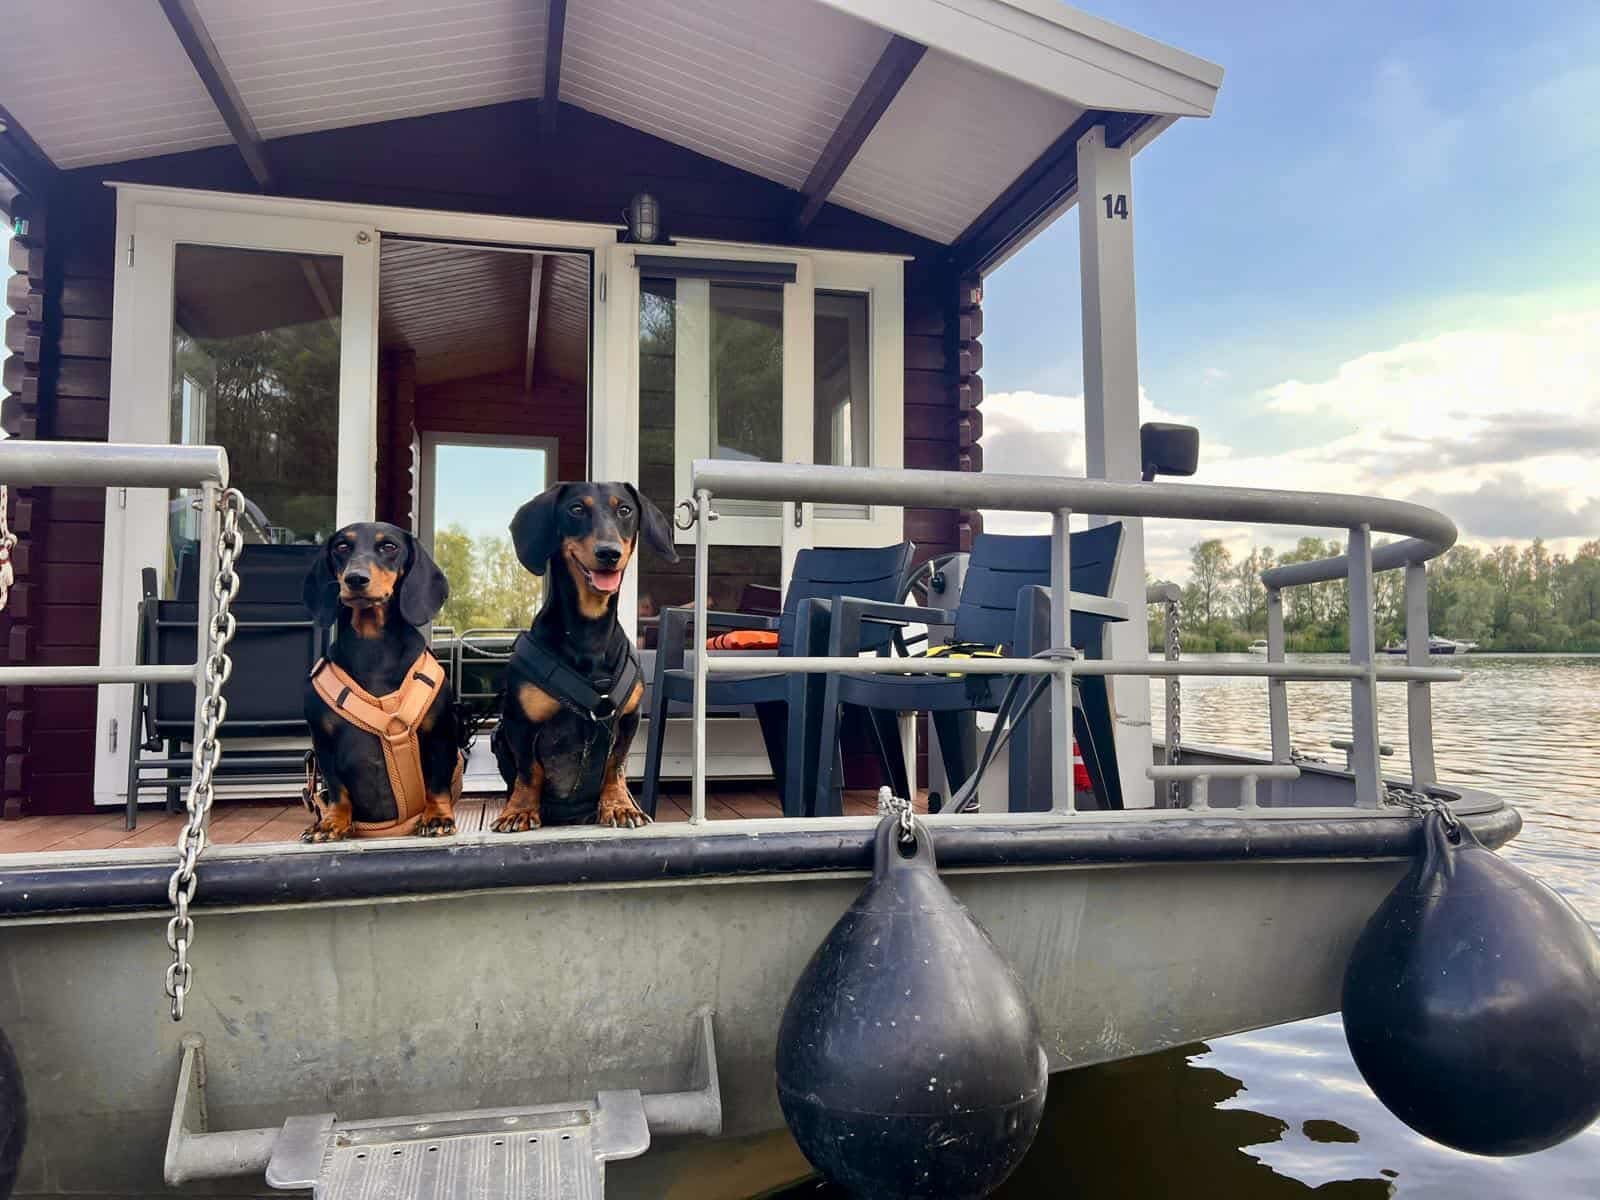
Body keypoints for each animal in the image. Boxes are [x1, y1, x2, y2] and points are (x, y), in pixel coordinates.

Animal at [300, 522, 463, 841]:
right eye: (341, 547)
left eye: (389, 546)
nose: (355, 579)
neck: (373, 647)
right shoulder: (323, 741)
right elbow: (337, 789)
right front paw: (332, 822)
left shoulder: (439, 732)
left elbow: (437, 783)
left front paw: (437, 817)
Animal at [490, 482, 678, 831]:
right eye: (576, 509)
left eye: (625, 510)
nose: (609, 553)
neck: (589, 634)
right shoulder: (518, 722)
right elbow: (529, 771)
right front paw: (519, 811)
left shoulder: (629, 719)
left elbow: (615, 766)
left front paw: (619, 806)